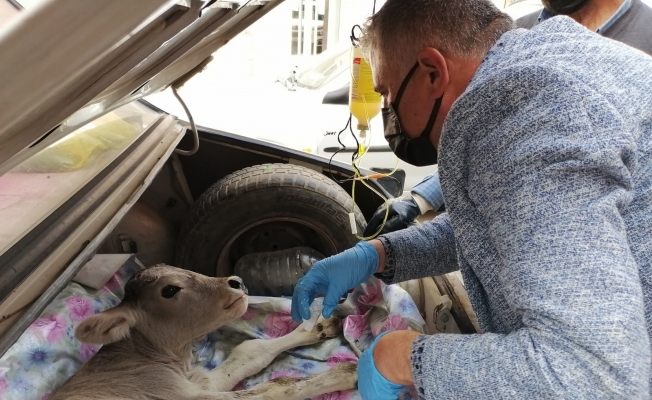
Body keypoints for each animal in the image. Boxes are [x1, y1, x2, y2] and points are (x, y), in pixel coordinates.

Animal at [51, 264, 356, 398]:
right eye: (169, 290)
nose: (236, 281)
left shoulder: (197, 383)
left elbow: (250, 351)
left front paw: (317, 326)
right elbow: (275, 388)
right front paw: (348, 373)